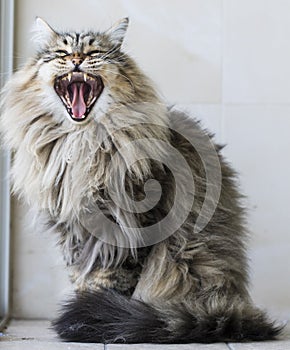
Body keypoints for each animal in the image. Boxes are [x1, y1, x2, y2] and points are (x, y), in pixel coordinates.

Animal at [0, 17, 282, 344]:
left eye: (94, 51)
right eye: (61, 52)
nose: (77, 59)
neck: (82, 143)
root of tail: (234, 303)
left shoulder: (129, 230)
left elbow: (111, 282)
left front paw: (94, 317)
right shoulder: (73, 230)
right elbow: (81, 277)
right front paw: (82, 315)